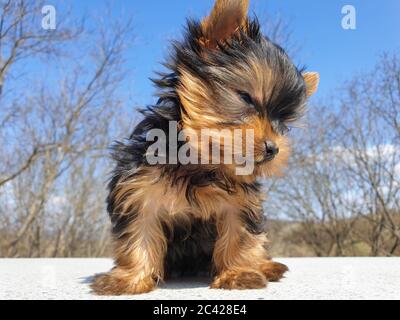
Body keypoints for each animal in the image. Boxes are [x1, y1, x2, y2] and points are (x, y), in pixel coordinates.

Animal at [91, 0, 318, 296]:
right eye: (246, 98)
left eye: (284, 124)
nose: (272, 149)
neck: (200, 162)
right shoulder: (138, 190)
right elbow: (138, 234)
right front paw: (128, 279)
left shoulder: (241, 203)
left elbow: (240, 237)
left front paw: (238, 273)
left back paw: (266, 266)